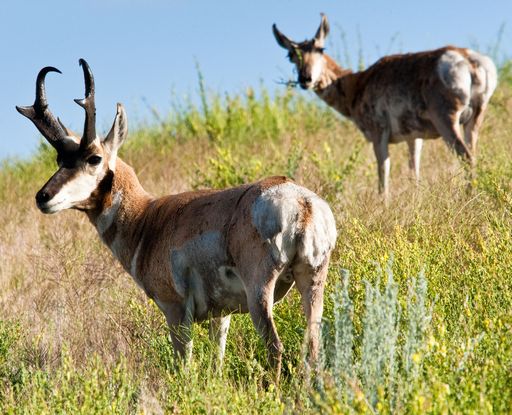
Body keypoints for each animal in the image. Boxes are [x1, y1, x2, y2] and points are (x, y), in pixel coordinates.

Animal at [17, 60, 336, 382]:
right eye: (60, 160)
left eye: (94, 158)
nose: (43, 197)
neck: (148, 218)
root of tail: (302, 202)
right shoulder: (221, 315)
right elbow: (217, 361)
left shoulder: (175, 310)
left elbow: (184, 364)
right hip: (312, 281)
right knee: (313, 345)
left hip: (260, 293)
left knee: (276, 347)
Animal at [274, 14, 498, 200]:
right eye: (291, 55)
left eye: (321, 49)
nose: (305, 79)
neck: (358, 84)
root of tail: (470, 60)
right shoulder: (413, 137)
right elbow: (414, 171)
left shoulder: (378, 132)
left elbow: (383, 171)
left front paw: (384, 203)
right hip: (475, 119)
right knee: (473, 152)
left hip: (446, 119)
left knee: (467, 156)